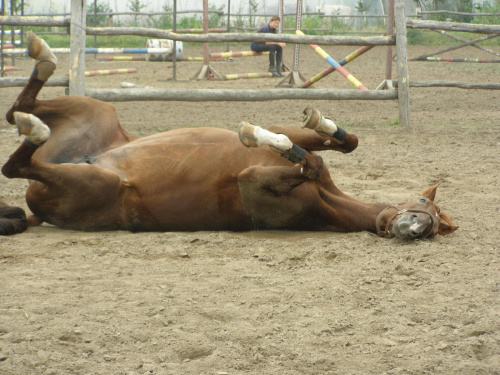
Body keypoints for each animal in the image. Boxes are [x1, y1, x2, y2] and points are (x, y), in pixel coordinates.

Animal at [0, 33, 458, 238]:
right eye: (423, 205)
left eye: (435, 226)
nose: (414, 228)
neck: (330, 201)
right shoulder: (281, 154)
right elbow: (332, 144)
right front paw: (302, 126)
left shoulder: (251, 182)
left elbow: (309, 161)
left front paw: (270, 141)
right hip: (97, 113)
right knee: (15, 113)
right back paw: (42, 58)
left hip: (97, 182)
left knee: (17, 162)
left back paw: (35, 122)